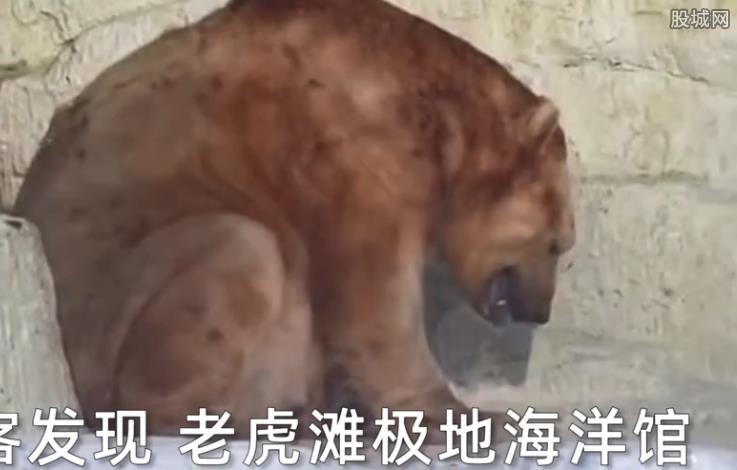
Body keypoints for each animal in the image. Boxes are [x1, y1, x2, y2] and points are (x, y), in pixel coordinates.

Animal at [13, 0, 575, 440]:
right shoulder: (353, 148)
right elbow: (376, 298)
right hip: (107, 313)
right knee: (243, 249)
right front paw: (469, 417)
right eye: (559, 243)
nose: (541, 311)